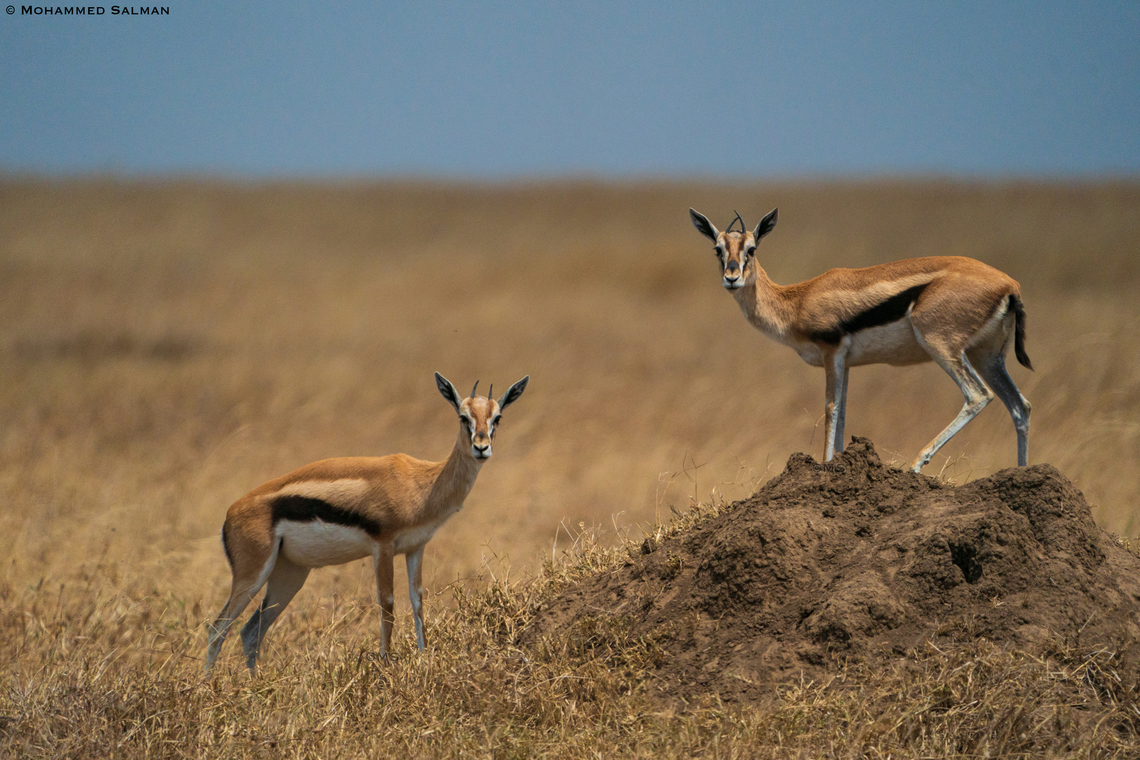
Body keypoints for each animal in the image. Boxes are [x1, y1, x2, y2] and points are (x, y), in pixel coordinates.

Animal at [205, 372, 529, 673]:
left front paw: (423, 659)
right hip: (252, 575)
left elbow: (417, 602)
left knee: (250, 631)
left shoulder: (416, 548)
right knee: (216, 629)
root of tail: (230, 514)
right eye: (463, 416)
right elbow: (387, 603)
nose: (481, 447)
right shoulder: (383, 546)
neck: (422, 483)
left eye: (497, 417)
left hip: (290, 576)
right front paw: (386, 665)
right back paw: (208, 687)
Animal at [689, 207, 1032, 473]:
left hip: (943, 347)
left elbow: (831, 409)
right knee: (1020, 406)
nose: (732, 278)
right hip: (985, 356)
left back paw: (917, 464)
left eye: (752, 249)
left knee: (978, 396)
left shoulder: (831, 353)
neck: (797, 302)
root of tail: (1010, 284)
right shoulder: (847, 363)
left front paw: (826, 466)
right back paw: (1021, 473)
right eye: (718, 249)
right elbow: (843, 411)